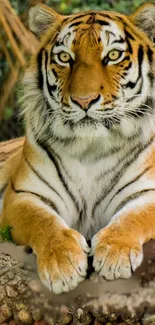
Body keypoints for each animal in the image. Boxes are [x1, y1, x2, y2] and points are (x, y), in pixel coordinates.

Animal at [0, 1, 155, 294]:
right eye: (64, 57)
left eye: (113, 55)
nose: (84, 101)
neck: (90, 148)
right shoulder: (24, 194)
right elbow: (43, 221)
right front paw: (62, 263)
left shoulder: (147, 190)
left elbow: (133, 216)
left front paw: (114, 252)